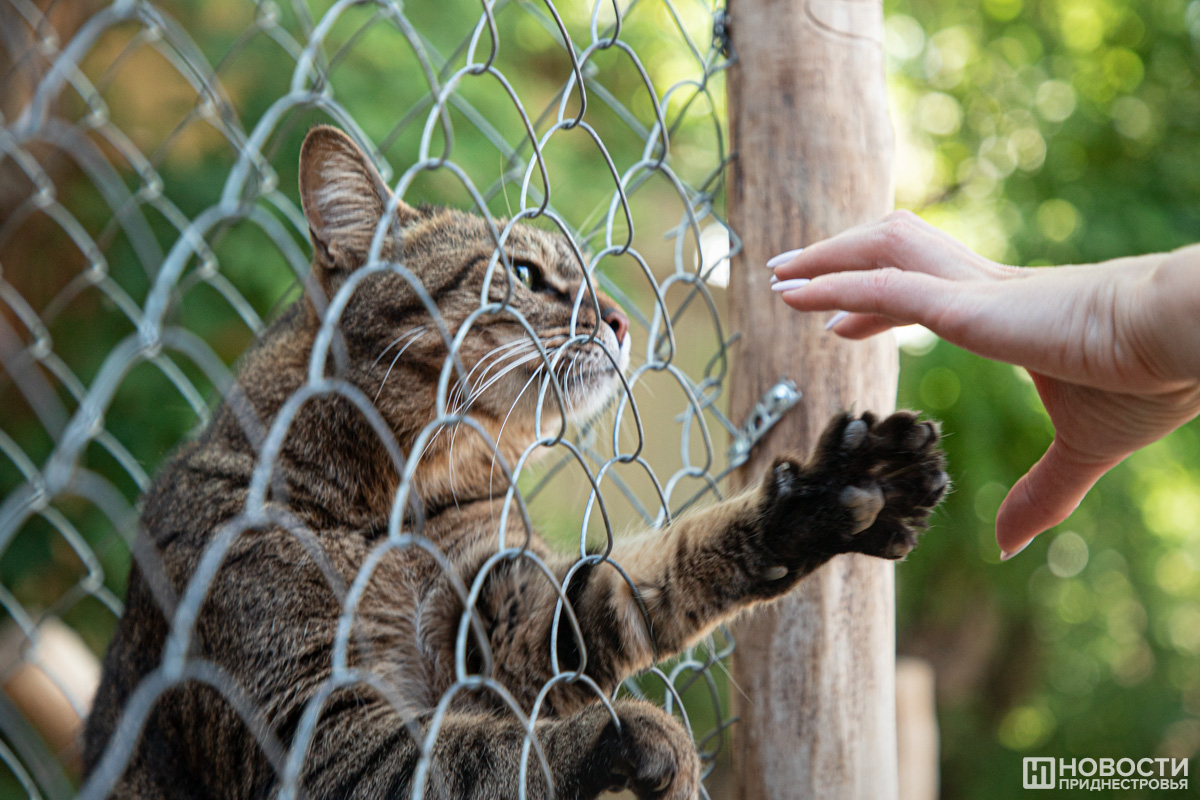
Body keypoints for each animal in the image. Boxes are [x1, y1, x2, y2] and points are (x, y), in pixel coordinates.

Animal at [82, 126, 945, 800]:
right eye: (526, 275)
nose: (621, 319)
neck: (400, 498)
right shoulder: (317, 733)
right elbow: (483, 756)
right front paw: (633, 733)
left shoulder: (518, 624)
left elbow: (651, 572)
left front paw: (824, 498)